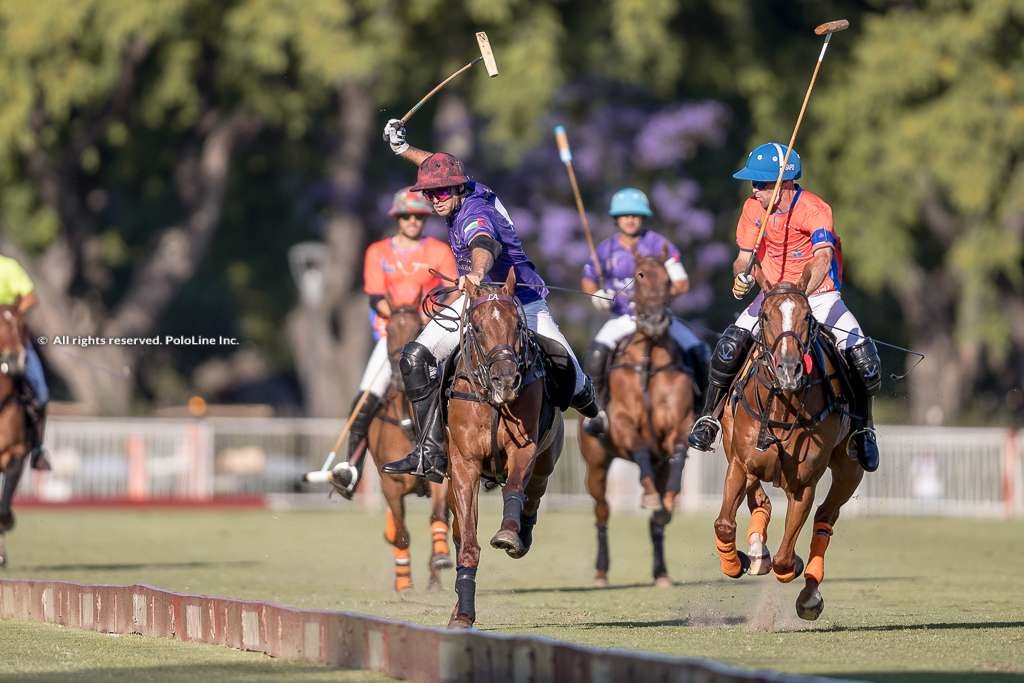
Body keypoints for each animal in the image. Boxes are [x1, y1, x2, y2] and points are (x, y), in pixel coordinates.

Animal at [364, 299, 452, 593]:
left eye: (418, 328)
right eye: (389, 330)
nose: (400, 378)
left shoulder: (441, 478)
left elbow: (438, 517)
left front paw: (440, 560)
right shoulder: (390, 485)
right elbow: (402, 534)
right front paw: (404, 583)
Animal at [446, 268, 565, 630]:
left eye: (518, 326)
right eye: (477, 327)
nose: (507, 381)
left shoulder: (523, 449)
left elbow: (514, 488)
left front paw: (509, 534)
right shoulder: (464, 464)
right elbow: (467, 543)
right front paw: (463, 615)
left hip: (547, 459)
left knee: (533, 494)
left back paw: (521, 534)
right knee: (458, 533)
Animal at [577, 254, 696, 589]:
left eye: (668, 281)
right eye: (639, 277)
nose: (655, 321)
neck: (649, 358)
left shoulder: (679, 425)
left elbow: (678, 454)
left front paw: (667, 500)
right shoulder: (623, 423)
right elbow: (639, 446)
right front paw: (654, 497)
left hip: (657, 463)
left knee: (655, 523)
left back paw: (661, 572)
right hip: (595, 462)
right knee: (602, 511)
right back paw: (601, 571)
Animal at [716, 270, 860, 622]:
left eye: (807, 316)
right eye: (766, 315)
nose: (789, 370)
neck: (783, 403)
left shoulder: (804, 483)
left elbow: (785, 558)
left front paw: (793, 565)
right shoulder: (740, 463)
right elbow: (725, 524)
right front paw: (737, 562)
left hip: (850, 470)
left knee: (825, 517)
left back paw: (809, 594)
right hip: (732, 446)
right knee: (759, 500)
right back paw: (756, 553)